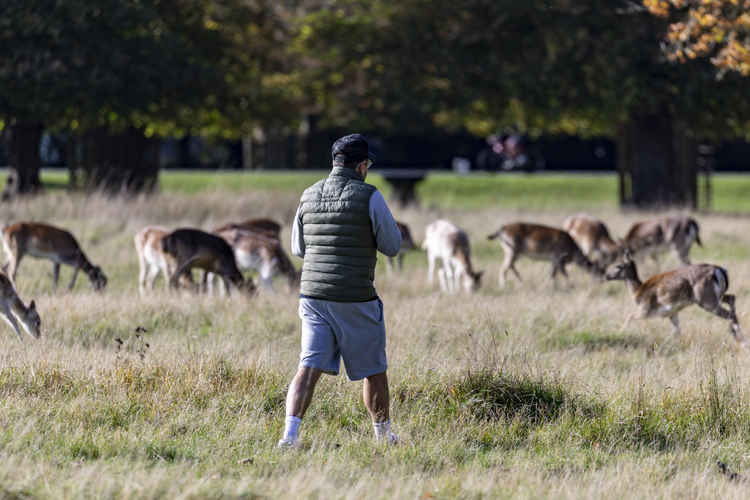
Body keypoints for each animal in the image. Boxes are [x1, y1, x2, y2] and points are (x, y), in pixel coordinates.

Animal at [612, 250, 748, 344]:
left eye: (618, 266)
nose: (608, 275)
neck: (638, 291)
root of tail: (719, 270)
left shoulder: (646, 311)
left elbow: (629, 316)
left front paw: (620, 332)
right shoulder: (672, 313)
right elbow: (677, 330)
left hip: (707, 302)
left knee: (729, 313)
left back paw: (741, 340)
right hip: (717, 296)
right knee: (732, 298)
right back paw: (736, 335)